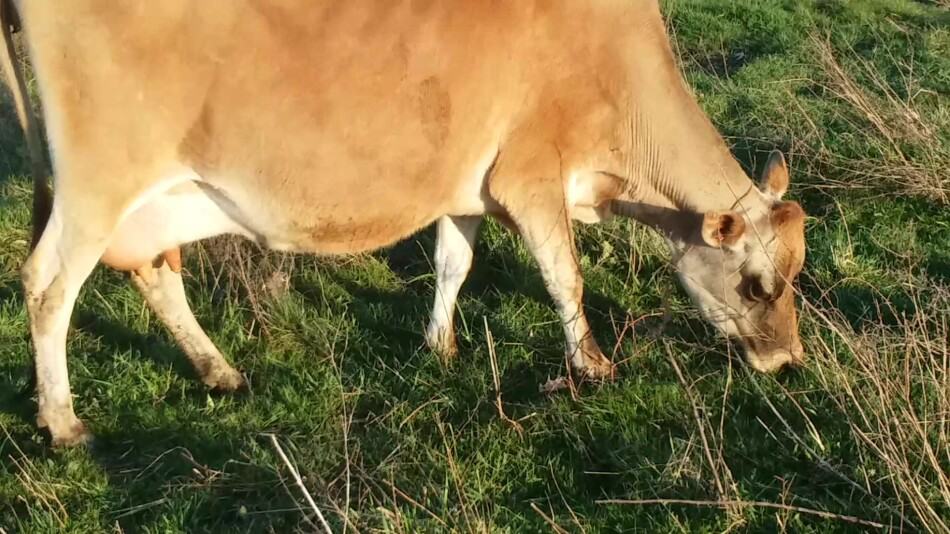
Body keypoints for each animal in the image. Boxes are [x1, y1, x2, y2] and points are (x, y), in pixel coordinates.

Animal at [3, 0, 812, 448]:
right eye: (756, 283)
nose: (788, 363)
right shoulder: (531, 176)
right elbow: (565, 277)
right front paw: (591, 365)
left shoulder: (468, 186)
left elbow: (455, 264)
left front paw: (439, 345)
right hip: (99, 181)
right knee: (47, 284)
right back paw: (63, 423)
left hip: (154, 197)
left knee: (154, 271)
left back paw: (219, 370)